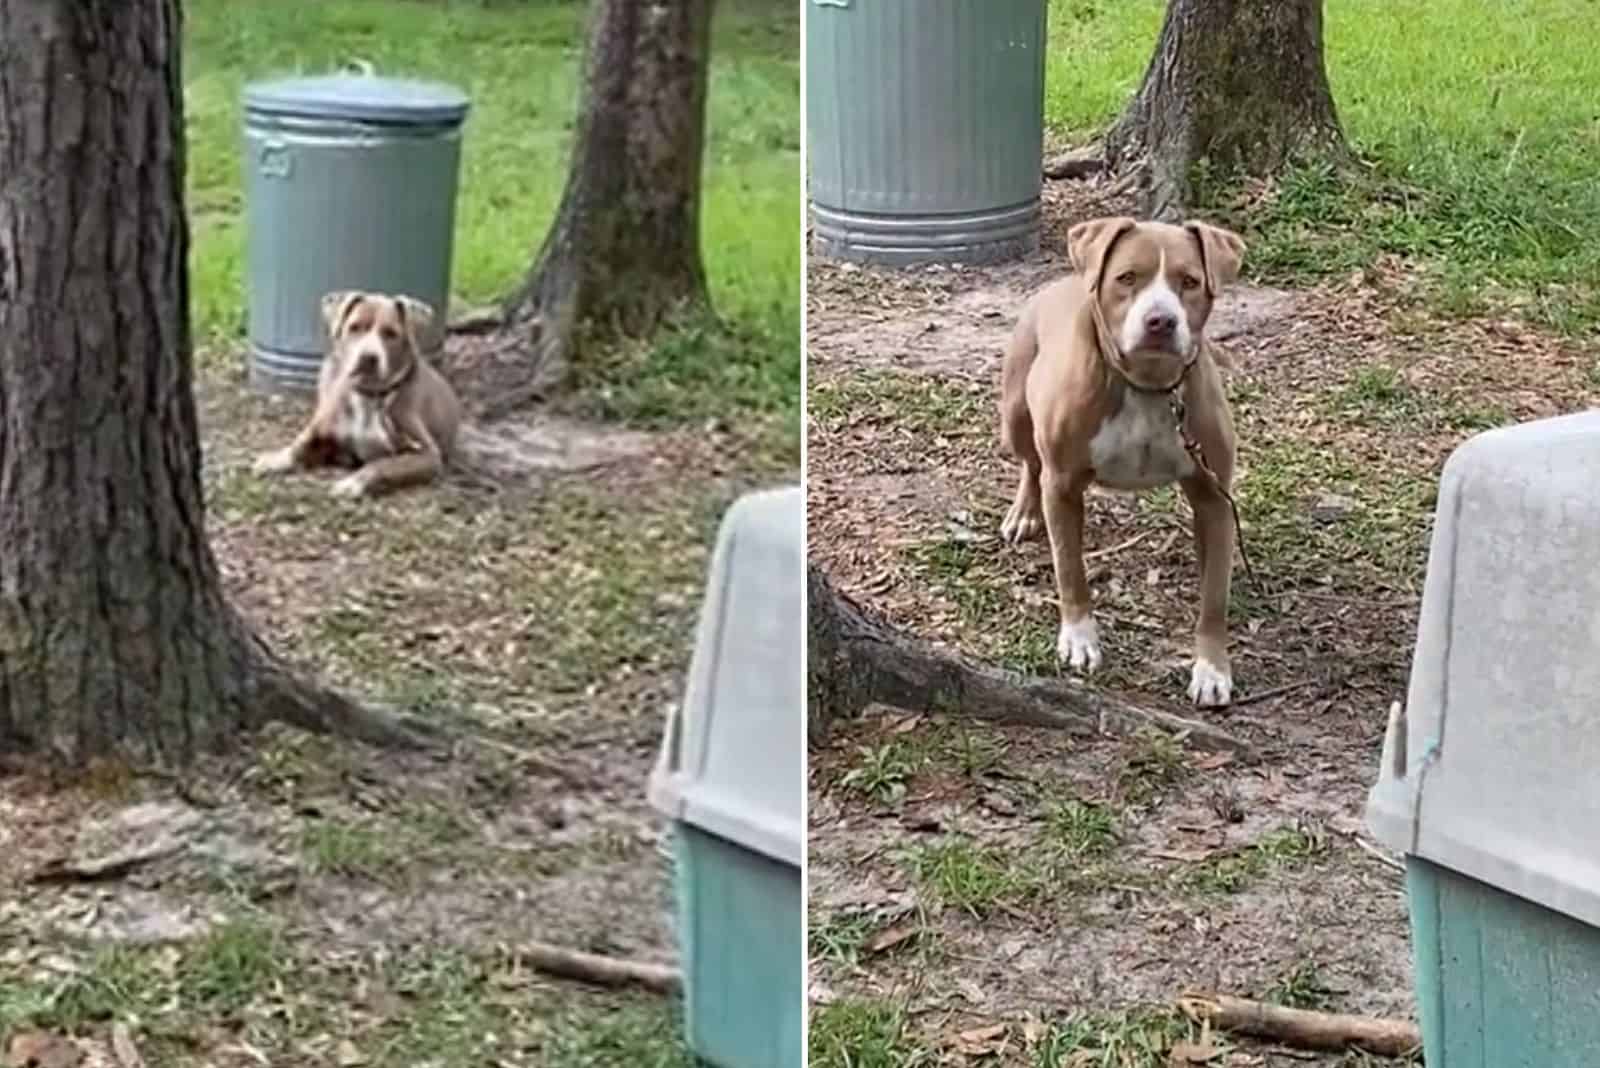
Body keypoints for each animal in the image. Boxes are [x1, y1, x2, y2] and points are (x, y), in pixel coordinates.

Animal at [251, 287, 464, 495]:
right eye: (354, 327)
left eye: (391, 333)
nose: (368, 357)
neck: (369, 396)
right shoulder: (325, 432)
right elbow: (301, 444)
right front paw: (276, 459)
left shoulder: (428, 454)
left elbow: (383, 464)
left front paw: (352, 482)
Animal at [998, 214, 1248, 709]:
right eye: (1127, 278)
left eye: (1190, 282)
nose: (1160, 320)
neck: (1147, 385)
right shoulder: (1063, 485)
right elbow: (1070, 568)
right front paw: (1079, 639)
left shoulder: (1215, 497)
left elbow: (1214, 595)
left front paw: (1212, 668)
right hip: (1015, 412)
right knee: (1031, 463)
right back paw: (1024, 513)